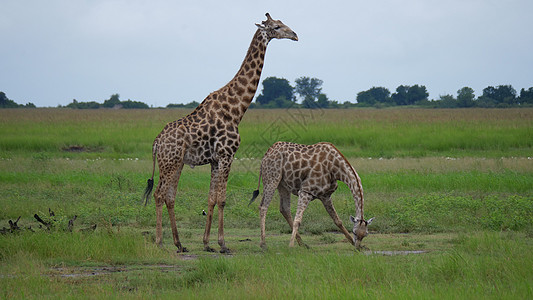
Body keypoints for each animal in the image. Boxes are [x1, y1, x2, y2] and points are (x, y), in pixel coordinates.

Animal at [143, 13, 298, 253]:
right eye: (276, 26)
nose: (295, 35)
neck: (236, 109)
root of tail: (157, 142)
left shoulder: (215, 160)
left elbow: (211, 199)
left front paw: (207, 243)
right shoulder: (227, 155)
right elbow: (223, 199)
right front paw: (223, 244)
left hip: (175, 163)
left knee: (169, 196)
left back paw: (180, 244)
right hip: (169, 162)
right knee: (160, 194)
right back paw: (160, 242)